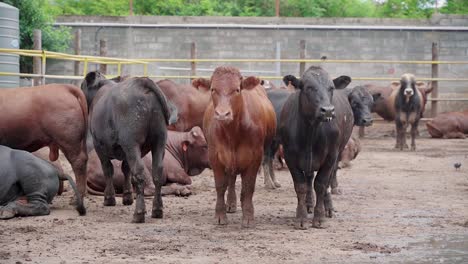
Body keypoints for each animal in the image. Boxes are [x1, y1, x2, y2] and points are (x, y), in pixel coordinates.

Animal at [203, 65, 276, 227]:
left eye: (237, 89)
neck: (232, 134)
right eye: (213, 89)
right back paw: (231, 203)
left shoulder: (255, 157)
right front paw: (220, 215)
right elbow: (220, 186)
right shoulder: (214, 156)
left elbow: (248, 187)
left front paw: (248, 215)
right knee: (231, 179)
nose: (222, 114)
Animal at [278, 66, 352, 229]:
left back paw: (328, 207)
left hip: (338, 152)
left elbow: (321, 184)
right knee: (309, 179)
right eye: (309, 87)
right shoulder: (290, 157)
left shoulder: (331, 157)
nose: (328, 110)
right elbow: (301, 186)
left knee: (327, 181)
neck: (311, 132)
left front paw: (319, 217)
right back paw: (309, 204)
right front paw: (301, 217)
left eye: (331, 88)